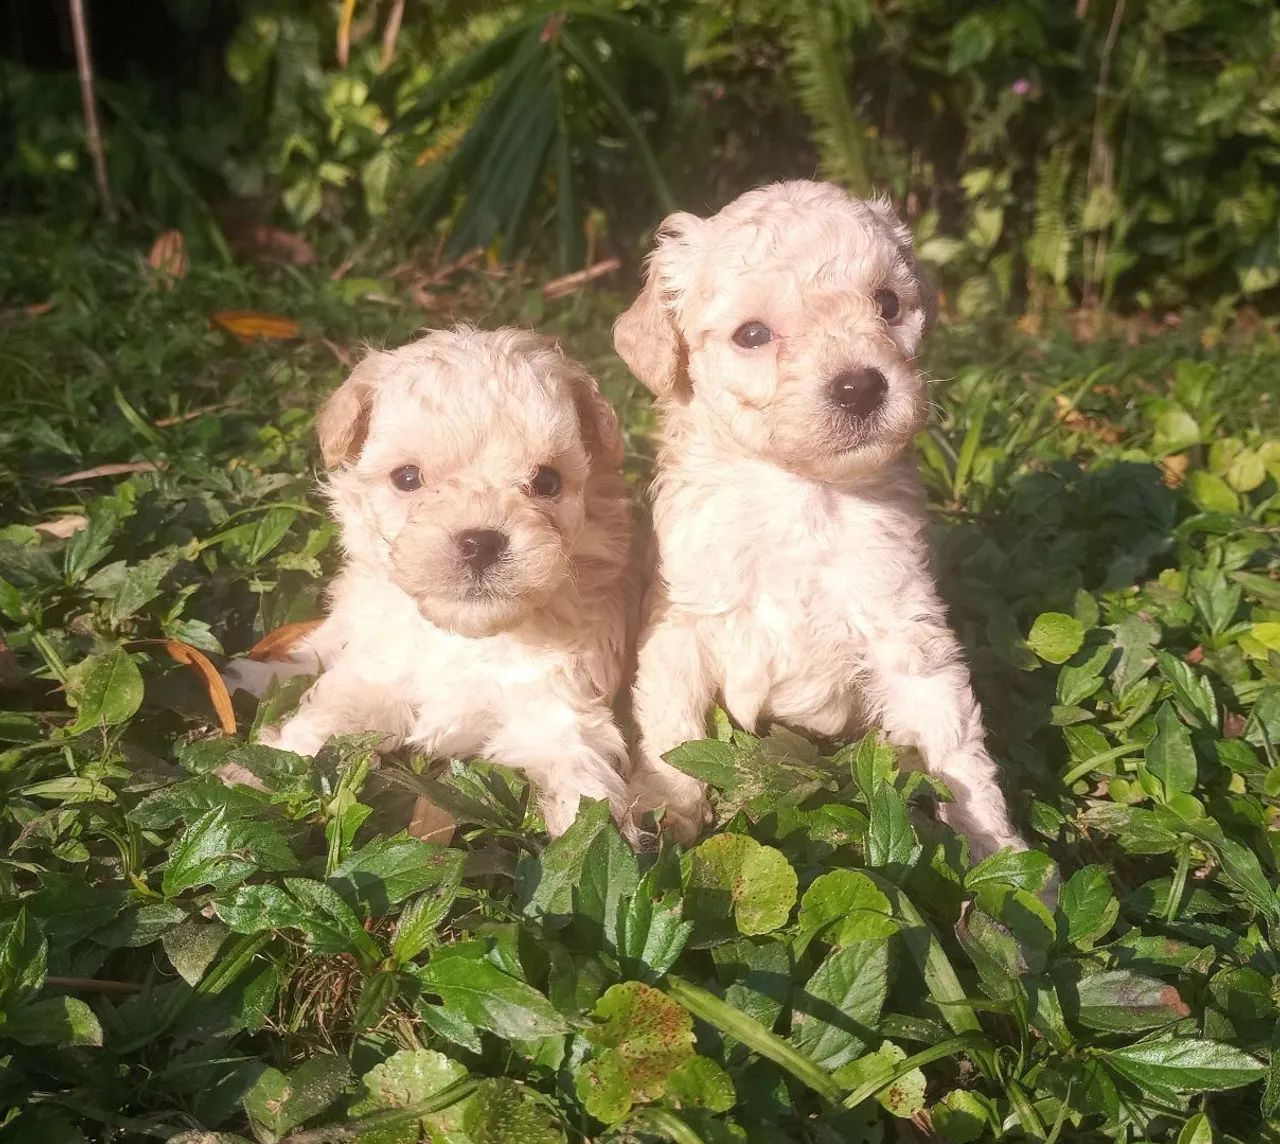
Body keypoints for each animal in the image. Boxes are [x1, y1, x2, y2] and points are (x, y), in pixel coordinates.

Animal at [229, 327, 634, 839]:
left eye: (547, 481)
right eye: (407, 478)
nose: (480, 542)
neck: (463, 636)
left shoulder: (557, 709)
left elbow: (585, 790)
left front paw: (603, 844)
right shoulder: (372, 675)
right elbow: (321, 722)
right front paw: (254, 773)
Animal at [614, 179, 1024, 859]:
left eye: (887, 304)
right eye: (753, 334)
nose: (861, 387)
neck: (801, 496)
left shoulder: (904, 626)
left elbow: (955, 743)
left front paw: (1001, 854)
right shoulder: (681, 622)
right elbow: (672, 727)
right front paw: (665, 809)